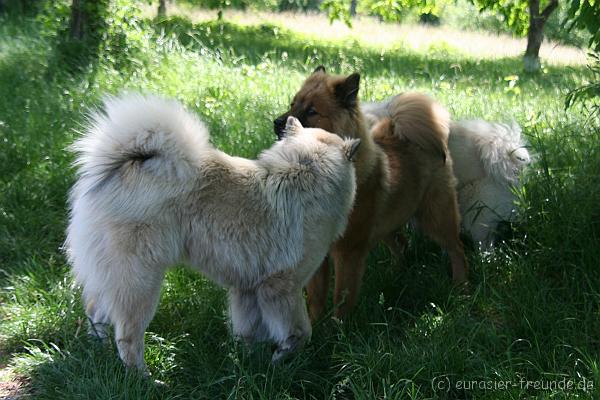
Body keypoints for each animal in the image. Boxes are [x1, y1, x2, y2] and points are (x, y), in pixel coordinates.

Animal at [65, 92, 358, 370]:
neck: (305, 169)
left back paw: (101, 354)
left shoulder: (248, 289)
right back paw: (143, 378)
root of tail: (127, 165)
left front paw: (251, 363)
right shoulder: (282, 286)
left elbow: (249, 330)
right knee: (127, 336)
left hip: (112, 276)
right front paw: (281, 356)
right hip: (140, 281)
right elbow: (301, 331)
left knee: (96, 313)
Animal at [274, 67, 468, 320]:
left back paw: (461, 286)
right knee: (401, 245)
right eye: (292, 103)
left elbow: (342, 297)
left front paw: (340, 326)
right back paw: (397, 275)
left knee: (457, 249)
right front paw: (315, 325)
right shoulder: (317, 250)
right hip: (389, 222)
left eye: (312, 111)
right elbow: (315, 298)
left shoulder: (348, 251)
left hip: (436, 217)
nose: (277, 123)